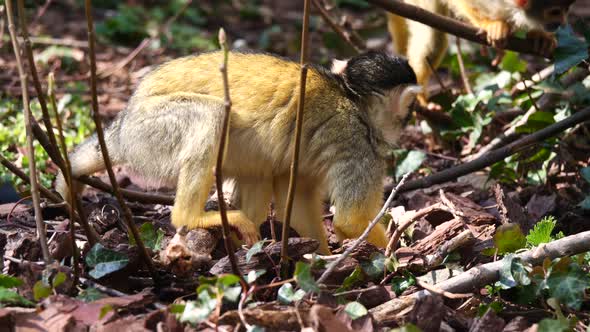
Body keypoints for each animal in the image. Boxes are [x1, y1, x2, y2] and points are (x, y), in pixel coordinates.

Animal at [56, 51, 420, 254]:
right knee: (212, 114)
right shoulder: (359, 144)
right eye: (409, 108)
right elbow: (351, 220)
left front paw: (322, 255)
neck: (351, 97)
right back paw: (192, 218)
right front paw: (391, 257)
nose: (410, 120)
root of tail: (123, 125)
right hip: (151, 130)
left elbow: (298, 202)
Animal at [388, 0, 580, 104]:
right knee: (433, 37)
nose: (562, 23)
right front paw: (490, 25)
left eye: (566, 10)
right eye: (555, 12)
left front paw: (540, 36)